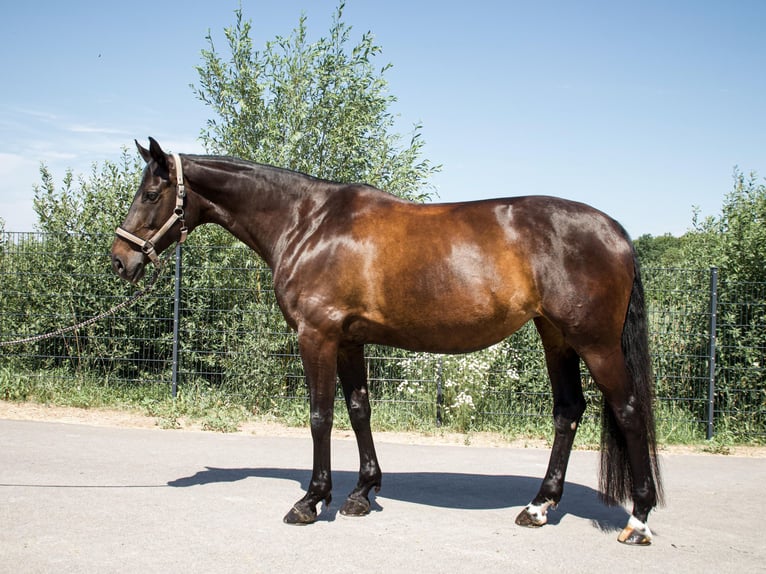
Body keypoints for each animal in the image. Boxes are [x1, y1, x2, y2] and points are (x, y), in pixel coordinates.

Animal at [111, 138, 663, 545]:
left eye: (151, 194)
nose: (120, 259)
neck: (307, 223)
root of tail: (616, 231)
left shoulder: (317, 336)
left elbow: (320, 416)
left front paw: (311, 501)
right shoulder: (349, 341)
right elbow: (359, 409)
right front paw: (362, 493)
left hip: (595, 343)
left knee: (629, 410)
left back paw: (638, 518)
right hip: (556, 337)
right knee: (568, 410)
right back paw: (539, 506)